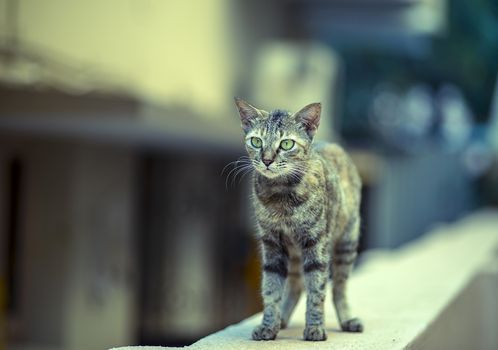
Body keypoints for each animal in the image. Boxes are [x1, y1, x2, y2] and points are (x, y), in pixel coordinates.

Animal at [235, 98, 364, 342]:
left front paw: (314, 328)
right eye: (256, 141)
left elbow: (317, 290)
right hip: (295, 254)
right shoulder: (272, 245)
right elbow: (271, 289)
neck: (280, 196)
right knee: (295, 285)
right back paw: (282, 319)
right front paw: (268, 326)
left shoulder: (316, 244)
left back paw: (347, 320)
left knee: (339, 288)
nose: (267, 160)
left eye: (286, 144)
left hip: (346, 243)